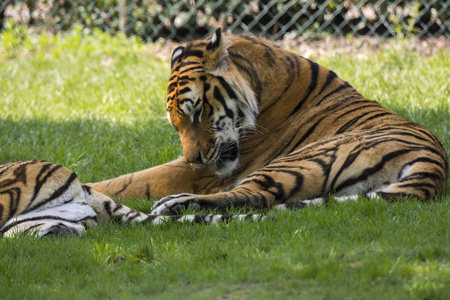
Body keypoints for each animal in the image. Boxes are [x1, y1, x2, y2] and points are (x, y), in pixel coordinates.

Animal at [87, 28, 446, 214]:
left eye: (198, 112)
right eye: (175, 124)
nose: (195, 160)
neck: (258, 80)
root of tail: (433, 169)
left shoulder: (211, 171)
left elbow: (132, 181)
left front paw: (88, 188)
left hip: (297, 160)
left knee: (257, 196)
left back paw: (174, 204)